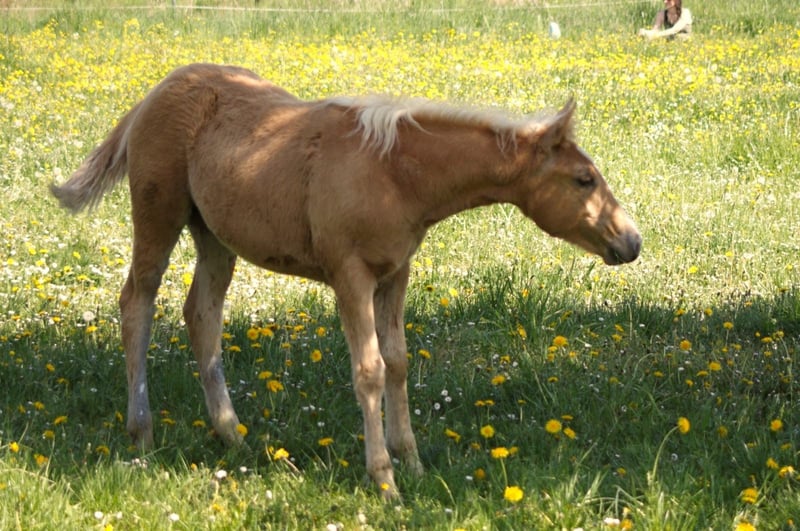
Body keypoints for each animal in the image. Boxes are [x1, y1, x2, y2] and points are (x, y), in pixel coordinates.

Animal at [51, 63, 641, 499]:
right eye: (584, 179)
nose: (631, 241)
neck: (394, 172)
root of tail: (155, 92)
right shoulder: (349, 276)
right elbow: (370, 370)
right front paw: (385, 483)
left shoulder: (395, 274)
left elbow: (399, 361)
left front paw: (414, 464)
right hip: (160, 213)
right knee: (137, 302)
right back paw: (143, 435)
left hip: (215, 235)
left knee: (201, 315)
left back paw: (232, 435)